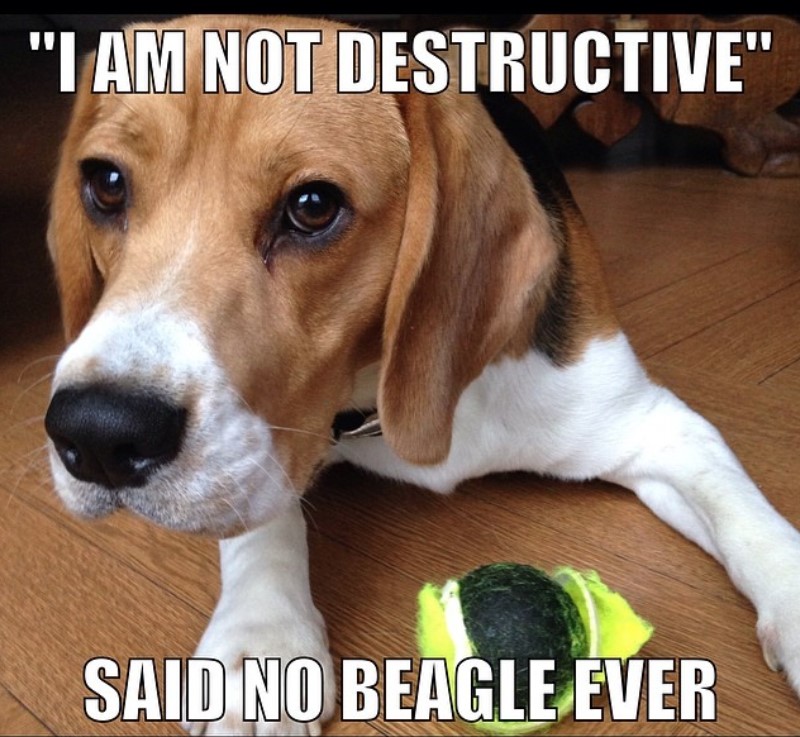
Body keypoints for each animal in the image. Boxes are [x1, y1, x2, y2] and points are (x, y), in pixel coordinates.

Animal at [43, 14, 800, 732]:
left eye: (313, 206)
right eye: (105, 184)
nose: (97, 434)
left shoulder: (651, 423)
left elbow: (745, 517)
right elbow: (259, 518)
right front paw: (260, 648)